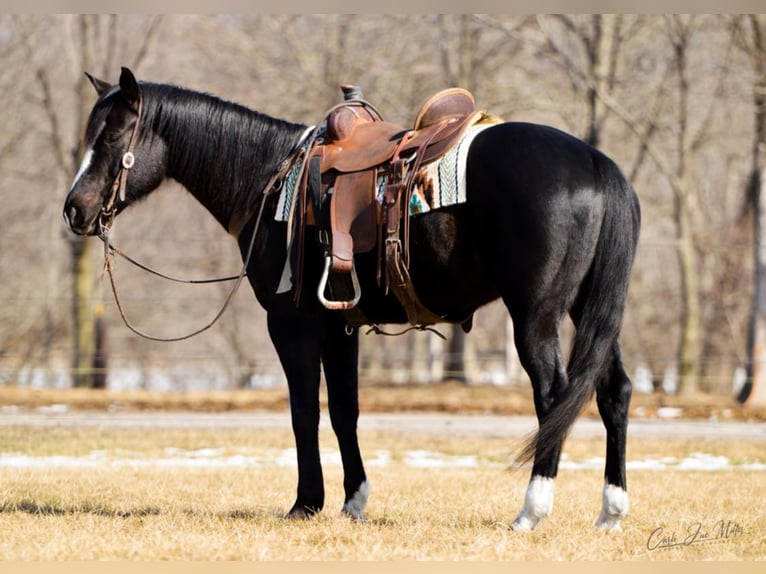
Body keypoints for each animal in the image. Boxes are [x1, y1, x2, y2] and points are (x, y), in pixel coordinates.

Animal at [64, 68, 640, 536]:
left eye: (112, 134)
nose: (74, 209)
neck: (267, 180)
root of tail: (596, 163)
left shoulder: (291, 324)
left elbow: (303, 410)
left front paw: (305, 503)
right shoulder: (340, 327)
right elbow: (345, 410)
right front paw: (353, 501)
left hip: (536, 315)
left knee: (555, 395)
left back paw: (531, 511)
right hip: (589, 312)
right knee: (613, 392)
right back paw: (610, 512)